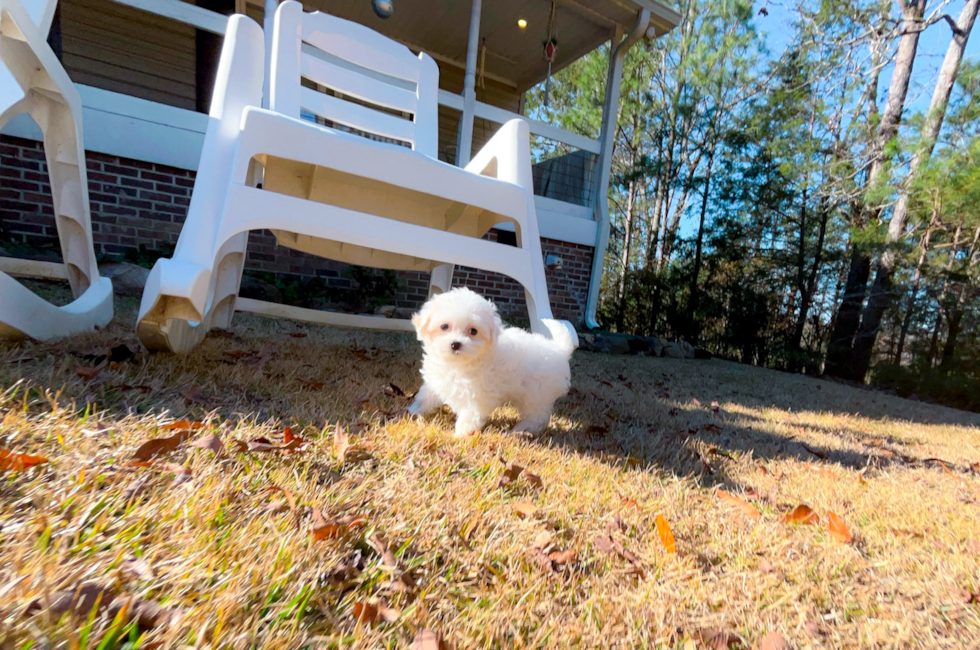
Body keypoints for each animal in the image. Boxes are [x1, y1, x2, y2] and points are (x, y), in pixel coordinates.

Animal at [406, 288, 576, 436]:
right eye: (444, 326)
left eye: (473, 331)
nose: (455, 344)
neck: (457, 363)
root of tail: (560, 350)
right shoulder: (437, 381)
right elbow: (426, 396)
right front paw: (414, 410)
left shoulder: (476, 394)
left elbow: (470, 414)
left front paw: (460, 434)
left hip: (536, 394)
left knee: (537, 416)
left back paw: (520, 430)